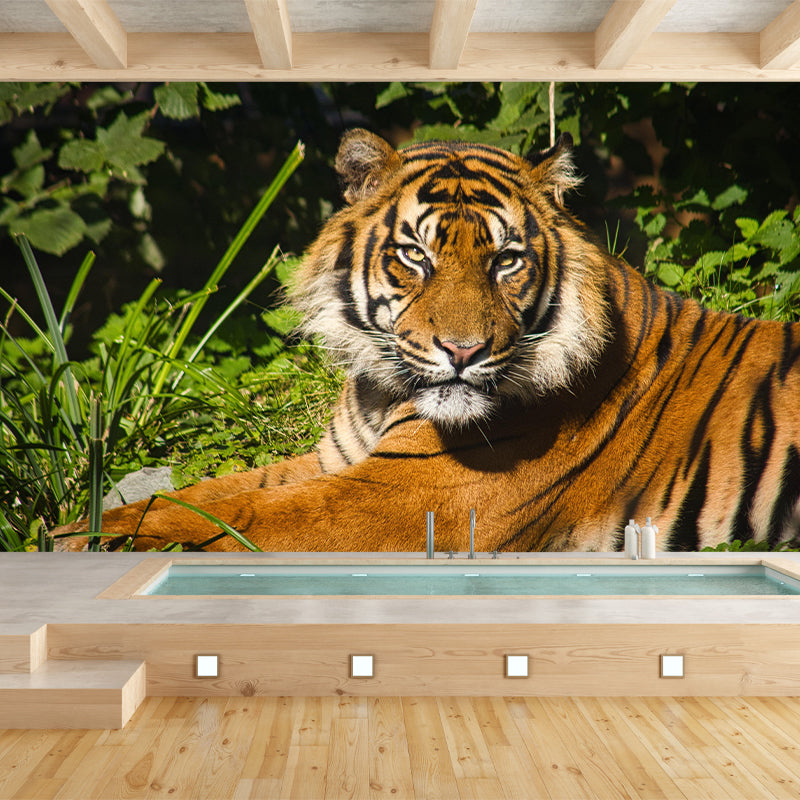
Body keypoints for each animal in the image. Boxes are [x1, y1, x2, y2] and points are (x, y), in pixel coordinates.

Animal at [59, 128, 800, 554]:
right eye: (415, 256)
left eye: (506, 260)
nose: (463, 352)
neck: (380, 391)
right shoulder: (335, 462)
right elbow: (211, 491)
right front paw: (84, 522)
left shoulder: (398, 500)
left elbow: (240, 514)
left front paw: (85, 539)